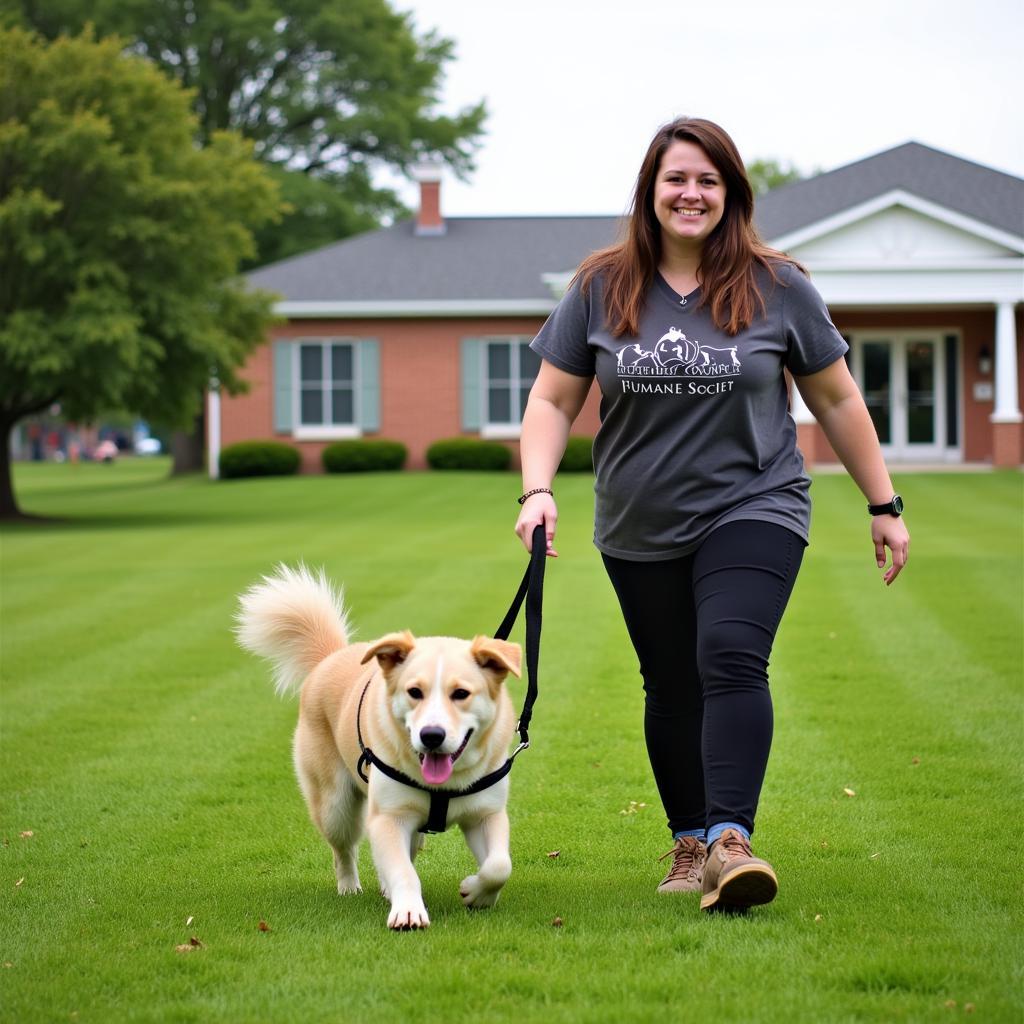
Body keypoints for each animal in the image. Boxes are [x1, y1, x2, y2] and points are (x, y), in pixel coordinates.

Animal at [234, 565, 520, 933]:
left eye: (461, 694)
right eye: (414, 692)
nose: (431, 735)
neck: (445, 784)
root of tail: (330, 657)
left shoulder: (486, 814)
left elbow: (499, 866)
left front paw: (476, 892)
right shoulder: (387, 816)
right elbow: (402, 871)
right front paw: (409, 910)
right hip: (335, 805)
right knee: (344, 849)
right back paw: (349, 886)